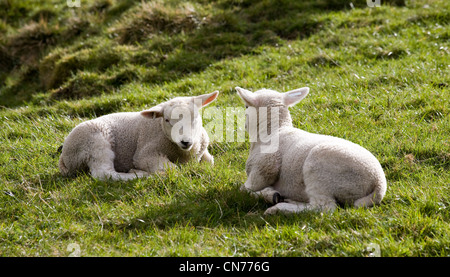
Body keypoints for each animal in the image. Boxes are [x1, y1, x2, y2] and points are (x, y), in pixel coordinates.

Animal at [58, 91, 220, 181]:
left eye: (195, 117)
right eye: (167, 120)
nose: (185, 141)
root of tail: (64, 157)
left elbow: (209, 161)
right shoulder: (144, 154)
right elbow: (173, 169)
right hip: (95, 143)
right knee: (104, 173)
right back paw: (139, 174)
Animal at [236, 87, 386, 213]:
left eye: (246, 106)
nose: (244, 125)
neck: (275, 131)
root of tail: (378, 185)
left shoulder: (263, 168)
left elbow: (244, 189)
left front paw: (268, 194)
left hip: (319, 172)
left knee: (323, 207)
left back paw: (279, 208)